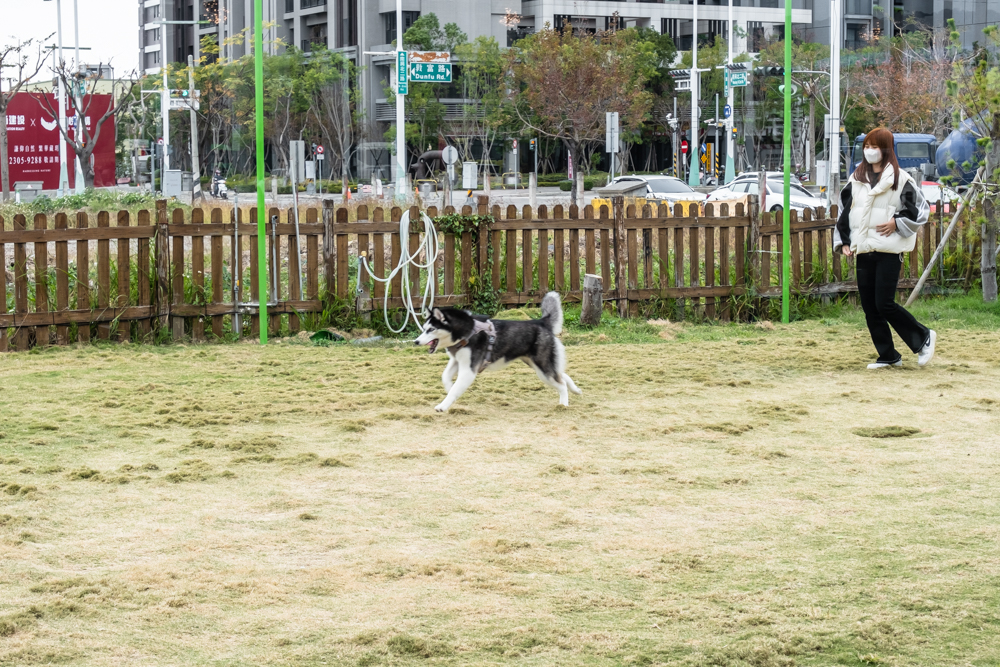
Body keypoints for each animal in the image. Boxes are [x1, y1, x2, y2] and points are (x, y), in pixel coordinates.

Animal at [414, 292, 584, 412]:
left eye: (431, 329)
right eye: (424, 329)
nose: (416, 341)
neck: (467, 332)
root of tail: (541, 321)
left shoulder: (469, 369)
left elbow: (456, 388)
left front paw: (443, 405)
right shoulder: (457, 361)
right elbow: (445, 377)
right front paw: (449, 387)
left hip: (542, 369)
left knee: (560, 383)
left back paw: (563, 405)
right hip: (537, 364)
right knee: (561, 374)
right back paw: (575, 390)